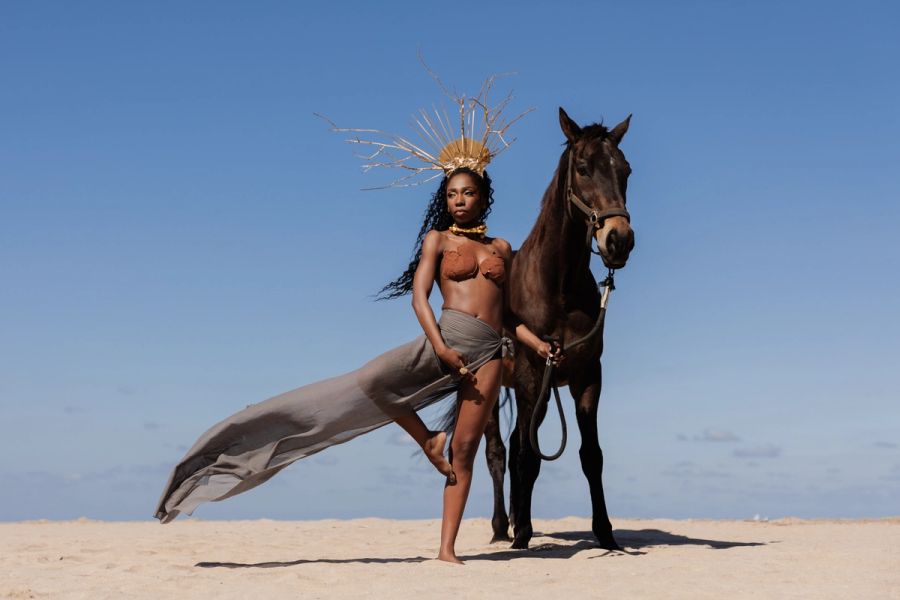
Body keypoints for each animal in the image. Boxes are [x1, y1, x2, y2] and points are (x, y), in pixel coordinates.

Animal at [484, 107, 635, 550]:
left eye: (625, 170)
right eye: (583, 168)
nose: (619, 240)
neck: (559, 286)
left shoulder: (587, 377)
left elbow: (591, 455)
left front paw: (606, 533)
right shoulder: (532, 375)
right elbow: (528, 457)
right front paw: (522, 535)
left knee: (516, 444)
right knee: (499, 452)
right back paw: (502, 527)